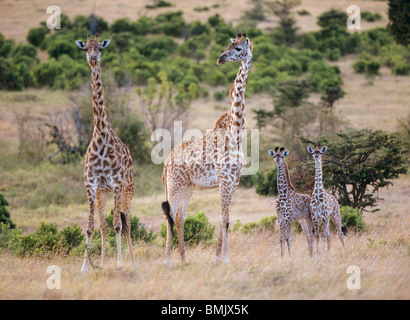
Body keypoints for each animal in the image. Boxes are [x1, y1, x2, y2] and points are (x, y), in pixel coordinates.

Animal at [161, 33, 251, 268]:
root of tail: (165, 166)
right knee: (169, 216)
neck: (235, 134)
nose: (220, 59)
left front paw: (218, 257)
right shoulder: (225, 180)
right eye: (228, 45)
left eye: (238, 48)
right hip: (174, 186)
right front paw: (226, 259)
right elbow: (226, 220)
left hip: (188, 187)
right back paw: (167, 261)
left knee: (180, 218)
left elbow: (222, 219)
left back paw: (184, 259)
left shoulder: (233, 183)